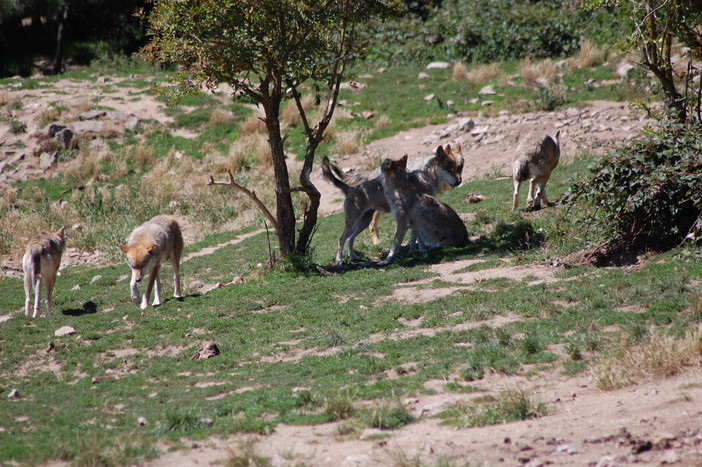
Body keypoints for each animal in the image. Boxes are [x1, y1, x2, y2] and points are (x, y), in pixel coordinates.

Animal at [324, 144, 468, 266]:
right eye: (448, 169)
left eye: (459, 168)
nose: (458, 182)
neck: (426, 176)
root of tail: (350, 188)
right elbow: (415, 237)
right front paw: (416, 251)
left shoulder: (416, 217)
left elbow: (416, 237)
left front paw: (417, 250)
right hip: (354, 223)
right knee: (342, 239)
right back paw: (339, 261)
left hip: (362, 223)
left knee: (350, 239)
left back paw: (353, 257)